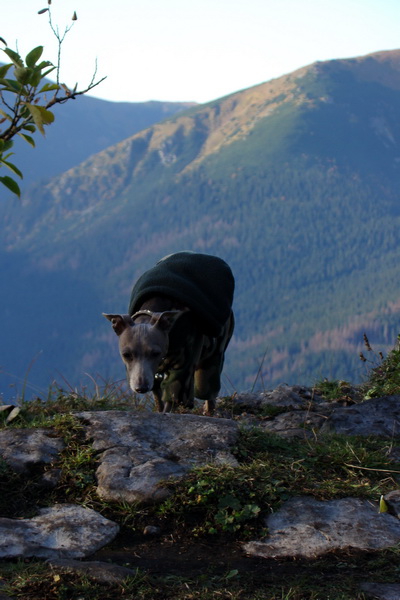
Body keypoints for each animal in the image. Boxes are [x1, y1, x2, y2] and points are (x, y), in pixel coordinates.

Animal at [103, 251, 234, 414]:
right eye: (126, 355)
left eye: (155, 353)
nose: (141, 388)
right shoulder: (154, 374)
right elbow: (158, 398)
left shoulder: (184, 363)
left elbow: (172, 393)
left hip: (215, 351)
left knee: (208, 387)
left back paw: (208, 410)